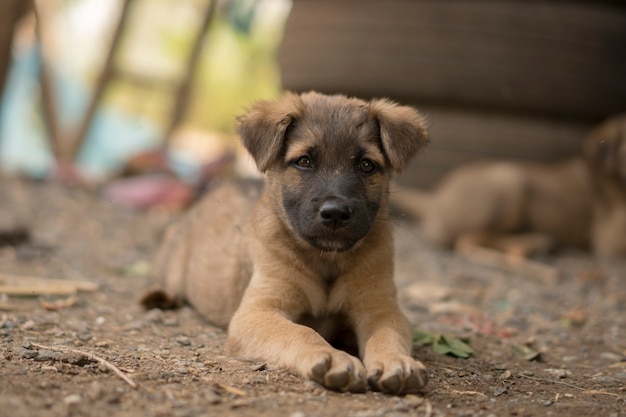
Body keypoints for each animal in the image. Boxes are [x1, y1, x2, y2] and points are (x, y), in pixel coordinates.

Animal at [144, 92, 432, 394]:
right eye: (304, 161)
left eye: (367, 165)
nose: (335, 213)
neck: (326, 260)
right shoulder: (258, 311)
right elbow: (301, 331)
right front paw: (329, 356)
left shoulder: (380, 307)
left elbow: (387, 334)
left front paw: (395, 361)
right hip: (174, 267)